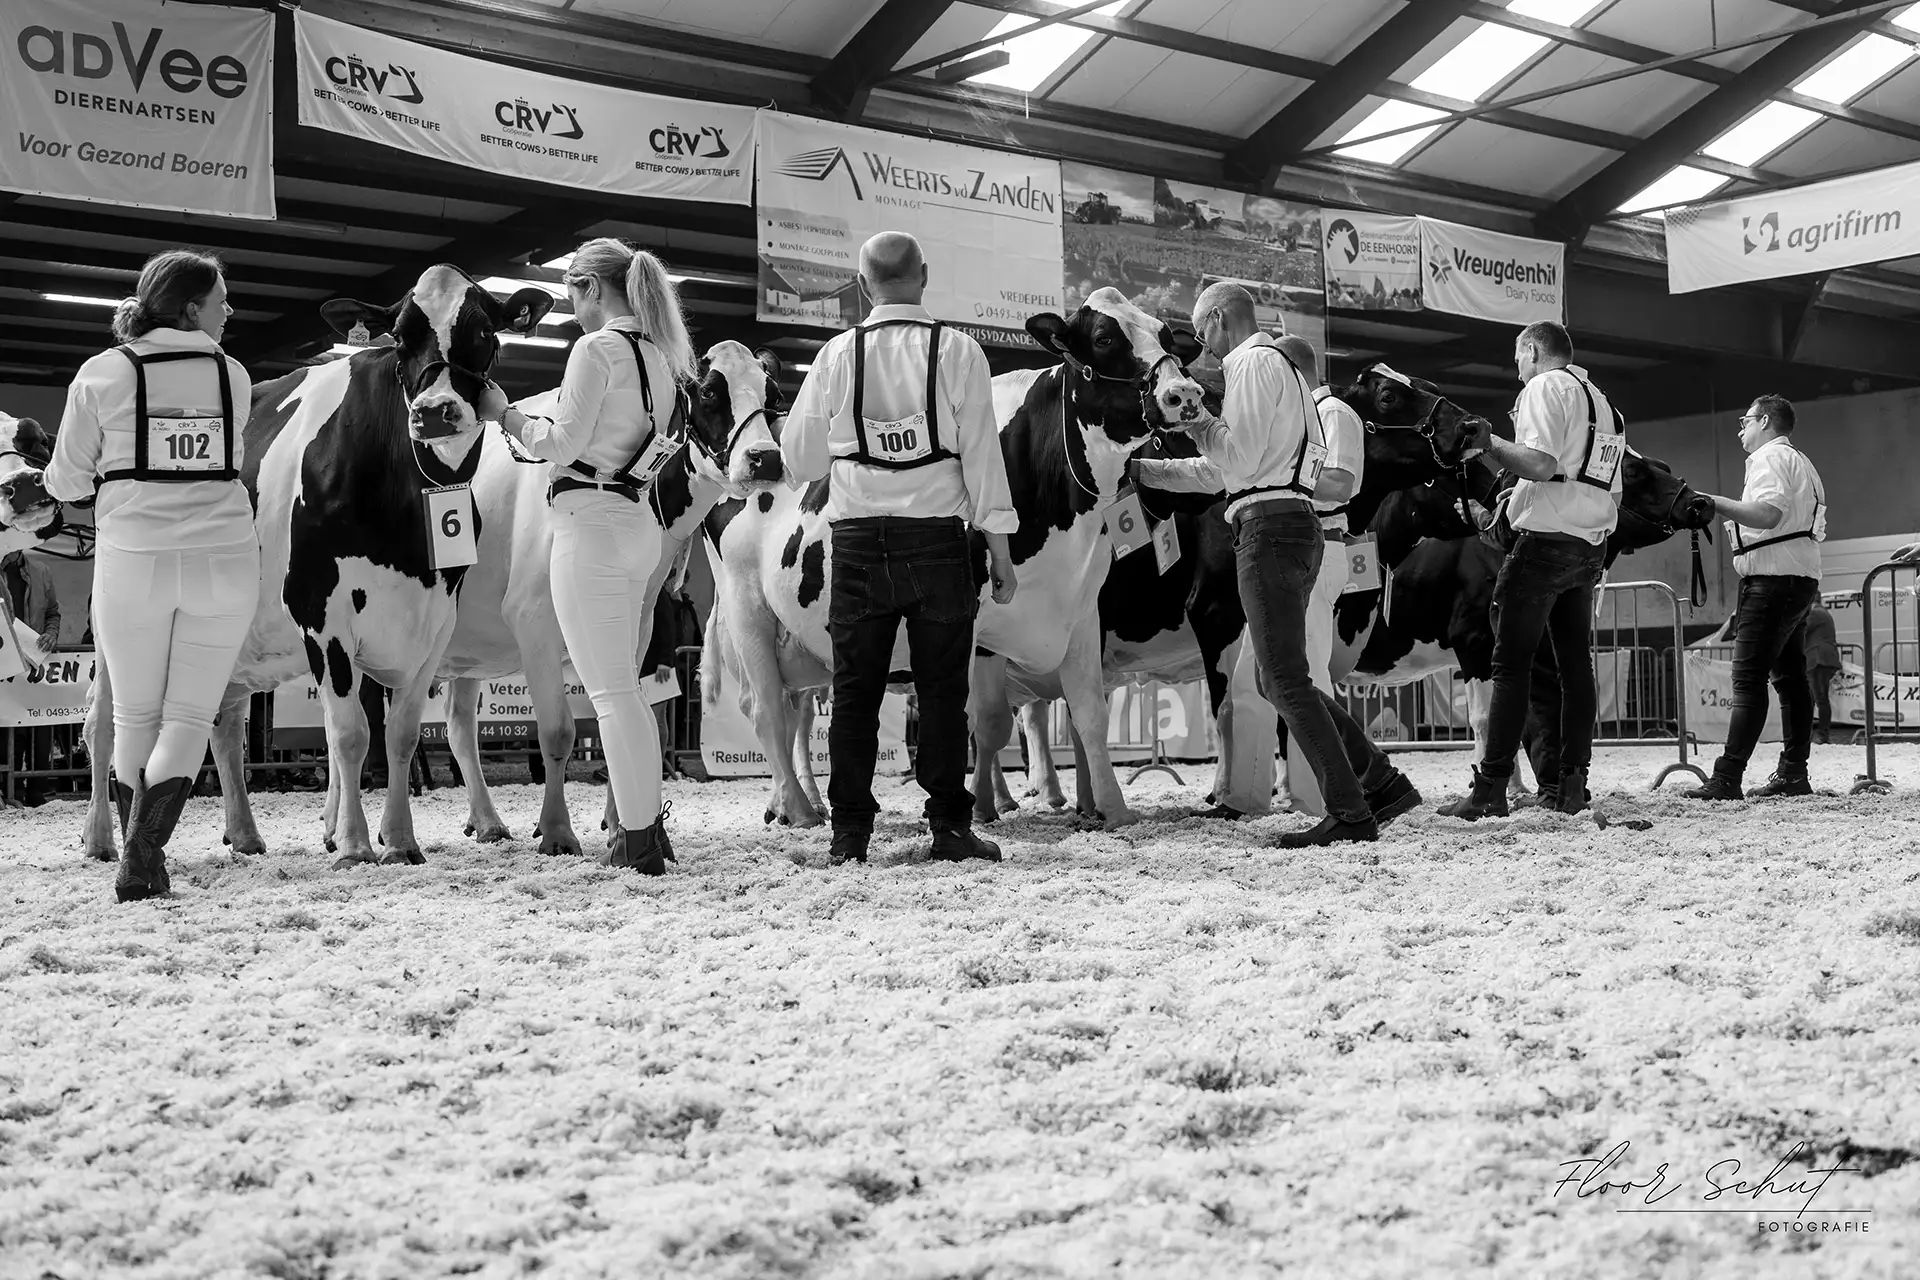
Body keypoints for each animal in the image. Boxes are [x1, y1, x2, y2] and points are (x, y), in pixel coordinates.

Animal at [700, 288, 1208, 831]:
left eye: (1162, 334)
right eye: (1104, 337)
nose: (1184, 394)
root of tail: (756, 445)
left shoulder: (1082, 611)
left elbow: (1088, 713)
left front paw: (1112, 810)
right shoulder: (975, 625)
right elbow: (982, 721)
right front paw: (981, 808)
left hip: (797, 640)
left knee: (792, 710)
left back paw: (794, 801)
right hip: (747, 609)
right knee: (766, 711)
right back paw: (799, 808)